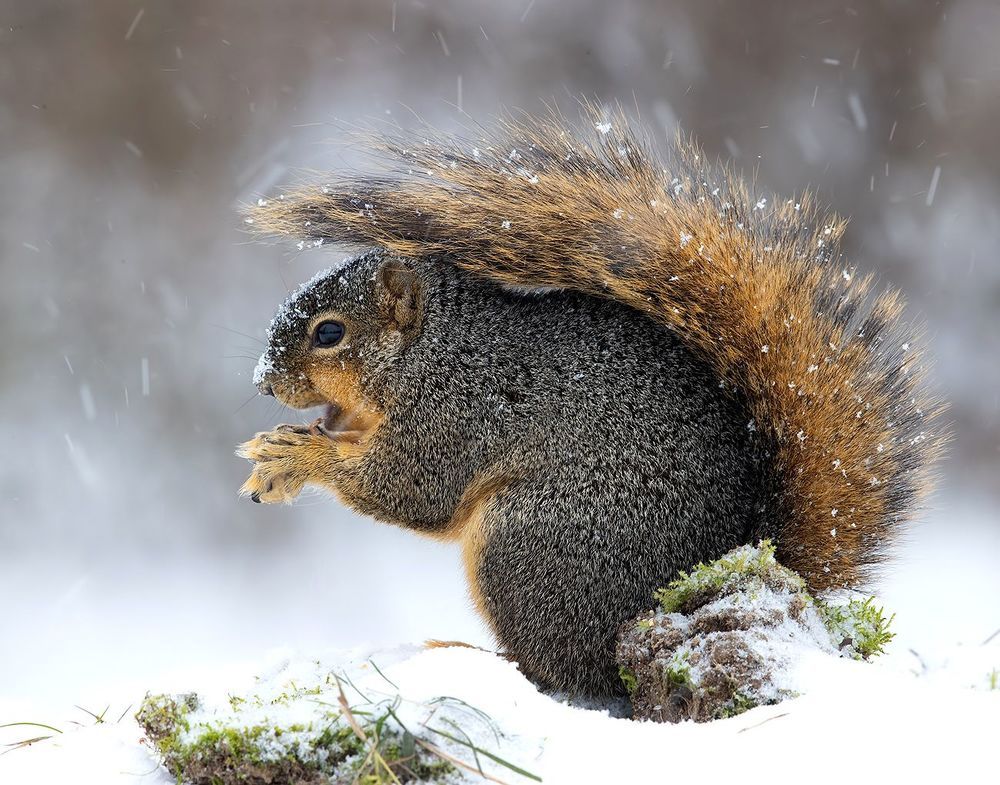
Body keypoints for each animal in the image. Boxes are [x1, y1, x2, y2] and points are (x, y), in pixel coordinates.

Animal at [238, 109, 943, 697]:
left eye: (330, 333)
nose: (262, 381)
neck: (435, 350)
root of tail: (740, 558)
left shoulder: (461, 413)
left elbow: (409, 488)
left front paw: (295, 457)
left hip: (531, 541)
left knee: (564, 673)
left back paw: (468, 653)